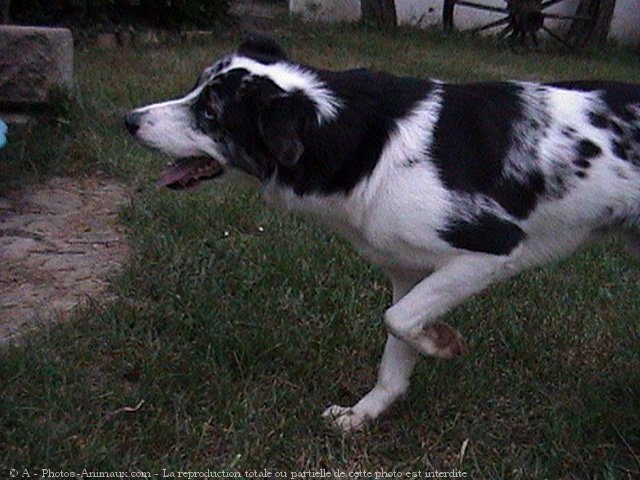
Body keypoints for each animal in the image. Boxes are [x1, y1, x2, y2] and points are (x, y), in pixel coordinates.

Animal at [125, 33, 640, 432]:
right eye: (195, 90)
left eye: (210, 112)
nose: (128, 121)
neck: (361, 142)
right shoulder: (409, 271)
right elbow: (395, 345)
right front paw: (364, 414)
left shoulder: (491, 249)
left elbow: (398, 320)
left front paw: (441, 341)